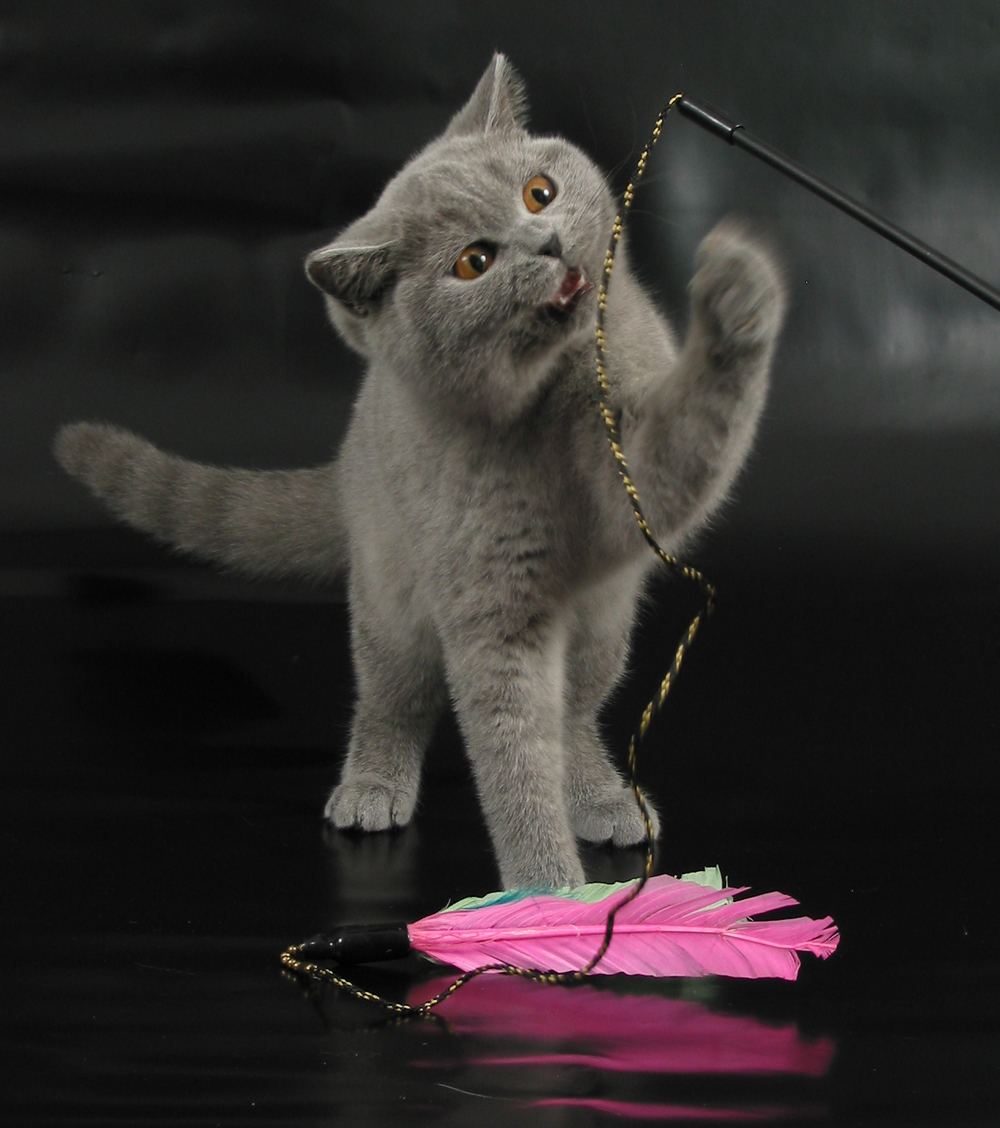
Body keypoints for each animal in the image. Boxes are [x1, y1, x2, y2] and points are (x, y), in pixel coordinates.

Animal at [54, 54, 785, 890]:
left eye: (540, 192)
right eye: (475, 262)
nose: (544, 241)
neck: (549, 398)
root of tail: (346, 466)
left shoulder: (626, 459)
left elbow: (682, 452)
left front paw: (740, 289)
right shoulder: (491, 609)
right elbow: (512, 754)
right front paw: (547, 892)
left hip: (608, 623)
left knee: (576, 712)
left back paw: (603, 794)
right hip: (389, 595)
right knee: (392, 696)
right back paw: (372, 787)